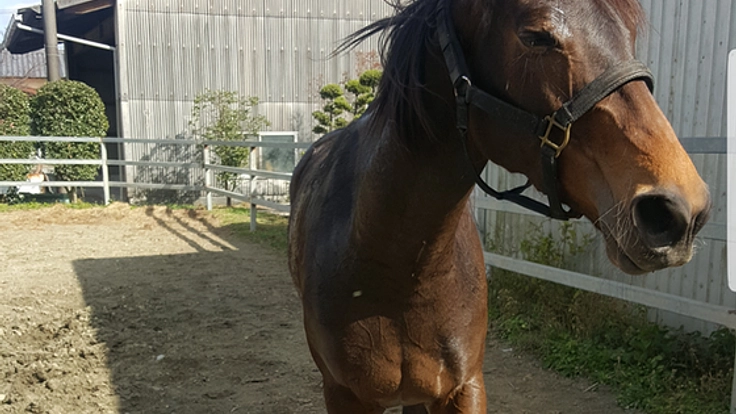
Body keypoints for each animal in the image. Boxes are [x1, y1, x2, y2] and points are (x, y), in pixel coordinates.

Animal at [287, 0, 711, 412]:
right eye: (536, 36)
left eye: (630, 36)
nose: (681, 210)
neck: (402, 271)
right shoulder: (346, 395)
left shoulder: (463, 388)